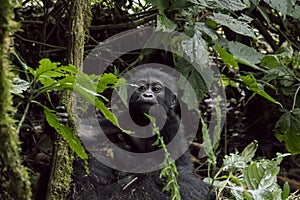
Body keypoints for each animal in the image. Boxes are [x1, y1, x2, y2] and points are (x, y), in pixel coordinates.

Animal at [68, 68, 213, 199]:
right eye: (142, 88)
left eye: (156, 89)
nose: (147, 95)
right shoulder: (124, 119)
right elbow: (95, 131)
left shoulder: (172, 124)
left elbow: (174, 171)